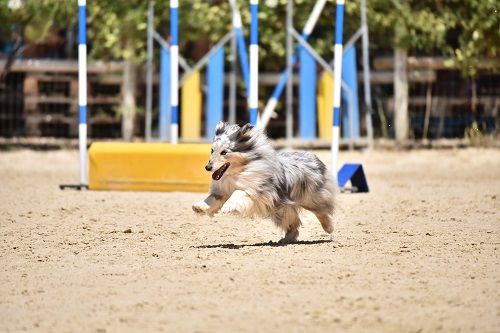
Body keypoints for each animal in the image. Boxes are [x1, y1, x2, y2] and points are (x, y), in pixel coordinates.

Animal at [193, 121, 338, 241]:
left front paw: (228, 207)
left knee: (322, 211)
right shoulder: (222, 191)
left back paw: (329, 228)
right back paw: (287, 239)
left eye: (224, 152)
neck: (239, 171)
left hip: (310, 198)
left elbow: (238, 192)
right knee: (293, 222)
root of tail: (312, 155)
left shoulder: (257, 190)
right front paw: (199, 207)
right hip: (282, 209)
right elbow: (212, 199)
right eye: (212, 150)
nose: (208, 167)